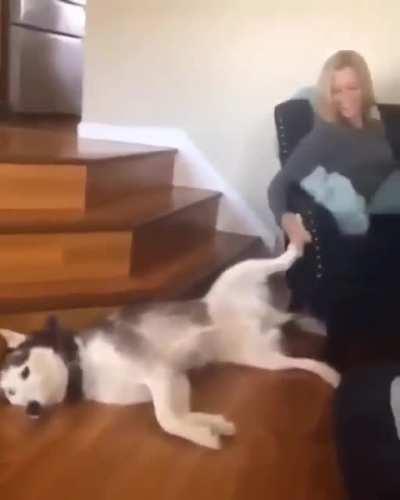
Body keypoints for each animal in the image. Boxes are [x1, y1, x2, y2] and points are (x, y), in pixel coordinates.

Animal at [0, 241, 339, 449]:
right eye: (11, 395)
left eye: (25, 371)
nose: (30, 409)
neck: (82, 366)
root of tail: (267, 316)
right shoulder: (175, 379)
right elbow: (179, 414)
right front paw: (211, 425)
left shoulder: (157, 372)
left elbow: (166, 420)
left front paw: (201, 437)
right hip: (263, 357)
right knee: (302, 362)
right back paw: (330, 373)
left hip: (239, 273)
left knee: (280, 261)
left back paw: (296, 242)